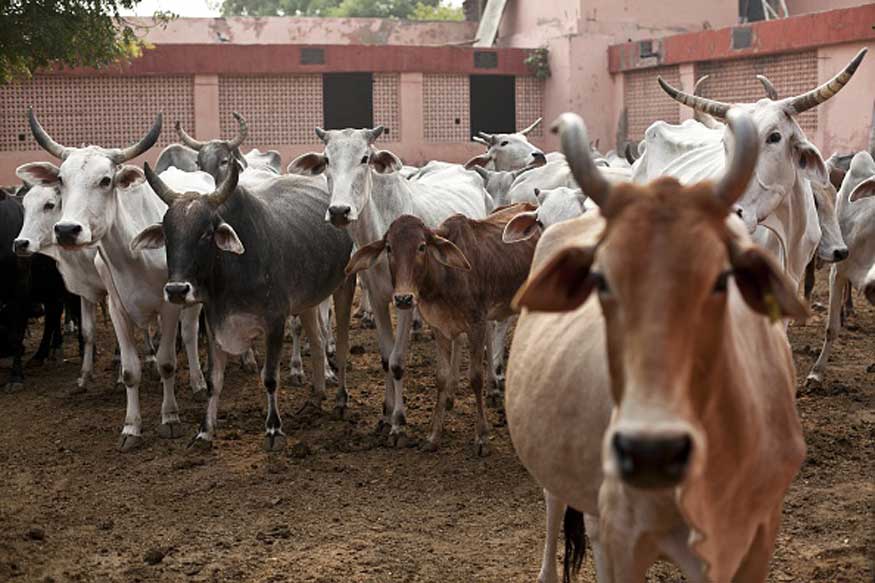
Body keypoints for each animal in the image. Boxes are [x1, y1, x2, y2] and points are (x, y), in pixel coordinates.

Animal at [26, 108, 212, 451]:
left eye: (105, 180)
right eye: (61, 180)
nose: (67, 230)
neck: (131, 251)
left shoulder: (169, 305)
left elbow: (167, 362)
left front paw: (170, 418)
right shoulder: (116, 308)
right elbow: (129, 370)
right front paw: (131, 427)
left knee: (191, 334)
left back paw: (198, 382)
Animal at [132, 160, 355, 450]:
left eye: (206, 233)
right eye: (167, 234)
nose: (177, 290)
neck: (233, 271)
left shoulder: (275, 323)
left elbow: (270, 378)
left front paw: (273, 430)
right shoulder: (214, 322)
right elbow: (214, 381)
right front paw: (204, 432)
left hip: (345, 286)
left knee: (341, 346)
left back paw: (340, 400)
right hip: (308, 301)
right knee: (317, 344)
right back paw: (316, 398)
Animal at [287, 126, 489, 445]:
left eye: (365, 158)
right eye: (327, 159)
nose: (339, 211)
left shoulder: (406, 301)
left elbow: (397, 361)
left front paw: (399, 423)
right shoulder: (378, 298)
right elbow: (384, 357)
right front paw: (385, 415)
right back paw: (450, 395)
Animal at [345, 203, 538, 454]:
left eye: (422, 246)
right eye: (389, 248)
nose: (404, 298)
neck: (445, 278)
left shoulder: (476, 324)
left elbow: (475, 377)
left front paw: (481, 437)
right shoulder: (440, 328)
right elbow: (442, 377)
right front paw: (434, 436)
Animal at [507, 110, 807, 583]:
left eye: (722, 277)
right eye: (601, 278)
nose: (651, 449)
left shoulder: (757, 536)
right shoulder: (627, 537)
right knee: (557, 506)